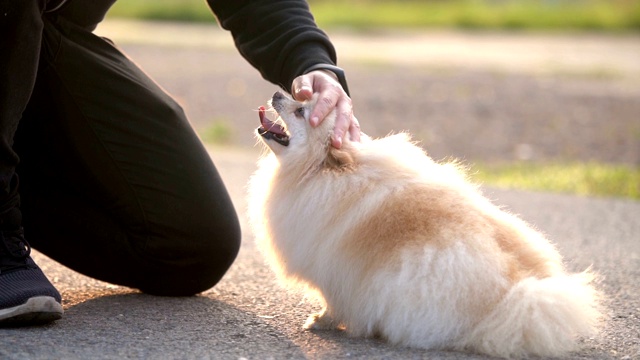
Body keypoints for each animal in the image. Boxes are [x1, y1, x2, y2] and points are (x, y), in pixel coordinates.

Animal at [248, 90, 604, 358]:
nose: (278, 93)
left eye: (301, 110)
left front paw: (321, 320)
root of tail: (515, 291)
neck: (316, 174)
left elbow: (333, 300)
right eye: (299, 98)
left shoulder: (335, 267)